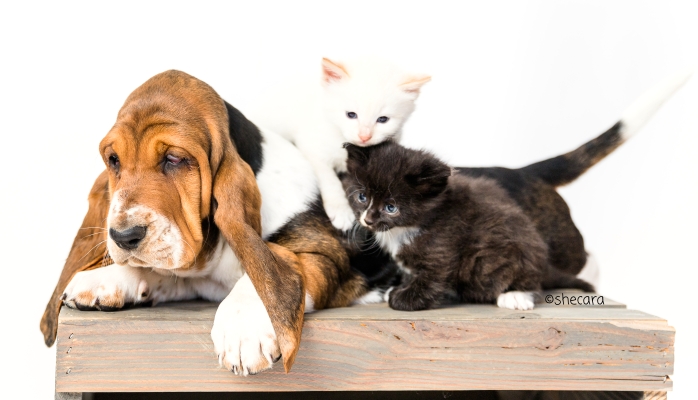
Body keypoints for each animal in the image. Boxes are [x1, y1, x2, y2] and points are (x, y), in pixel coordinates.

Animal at [37, 71, 376, 376]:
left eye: (174, 159)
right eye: (114, 160)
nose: (123, 236)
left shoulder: (330, 258)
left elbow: (265, 272)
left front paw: (243, 328)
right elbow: (164, 274)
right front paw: (104, 279)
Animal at [247, 57, 426, 231]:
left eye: (383, 119)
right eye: (351, 114)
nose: (364, 136)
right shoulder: (312, 149)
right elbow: (329, 180)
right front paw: (340, 210)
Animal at [342, 141, 592, 312]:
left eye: (391, 207)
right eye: (362, 197)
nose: (368, 220)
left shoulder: (443, 247)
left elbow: (432, 277)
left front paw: (403, 298)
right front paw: (397, 288)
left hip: (507, 255)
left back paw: (515, 295)